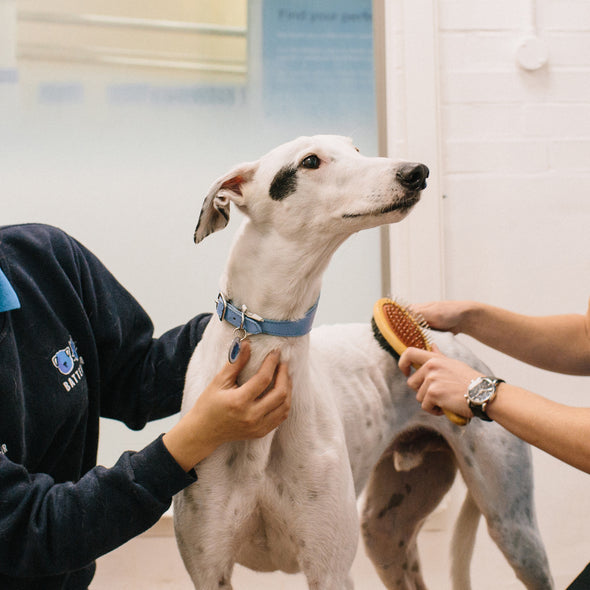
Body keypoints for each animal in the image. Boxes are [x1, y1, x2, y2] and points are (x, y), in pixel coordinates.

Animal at [172, 136, 556, 588]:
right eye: (310, 161)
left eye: (355, 149)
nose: (417, 172)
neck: (267, 346)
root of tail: (458, 351)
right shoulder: (209, 569)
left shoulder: (330, 569)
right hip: (386, 533)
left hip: (511, 526)